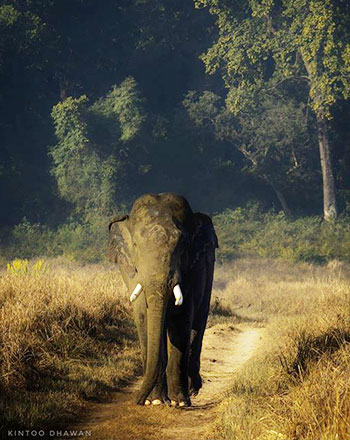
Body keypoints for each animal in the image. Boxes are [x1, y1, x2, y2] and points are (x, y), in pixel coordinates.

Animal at [106, 194, 217, 408]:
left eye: (182, 247)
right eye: (135, 246)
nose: (137, 401)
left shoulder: (191, 271)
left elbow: (181, 321)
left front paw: (179, 402)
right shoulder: (132, 272)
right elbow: (143, 317)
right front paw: (156, 401)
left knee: (198, 324)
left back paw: (192, 389)